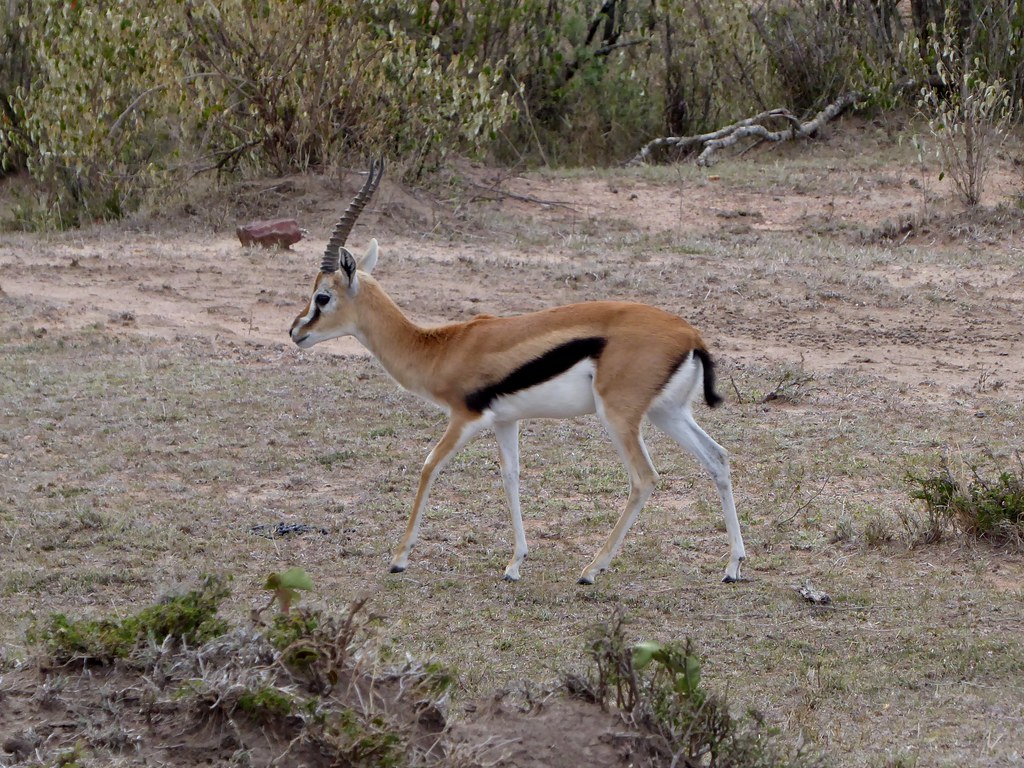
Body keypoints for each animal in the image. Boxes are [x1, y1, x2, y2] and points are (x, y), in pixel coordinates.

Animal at [289, 159, 746, 585]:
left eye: (322, 296)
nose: (296, 331)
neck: (441, 348)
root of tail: (690, 335)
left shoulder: (465, 418)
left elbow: (429, 465)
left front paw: (399, 558)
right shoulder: (505, 421)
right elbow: (510, 477)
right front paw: (514, 563)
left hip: (618, 417)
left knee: (645, 478)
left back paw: (591, 569)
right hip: (667, 413)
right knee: (718, 458)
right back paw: (732, 566)